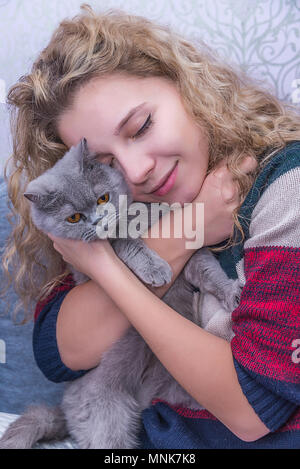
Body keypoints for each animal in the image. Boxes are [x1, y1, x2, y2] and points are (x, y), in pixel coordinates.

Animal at [0, 138, 241, 446]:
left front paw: (231, 293)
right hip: (106, 414)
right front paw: (155, 268)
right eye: (74, 217)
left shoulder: (192, 255)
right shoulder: (107, 254)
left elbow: (209, 272)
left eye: (102, 198)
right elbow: (128, 243)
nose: (96, 222)